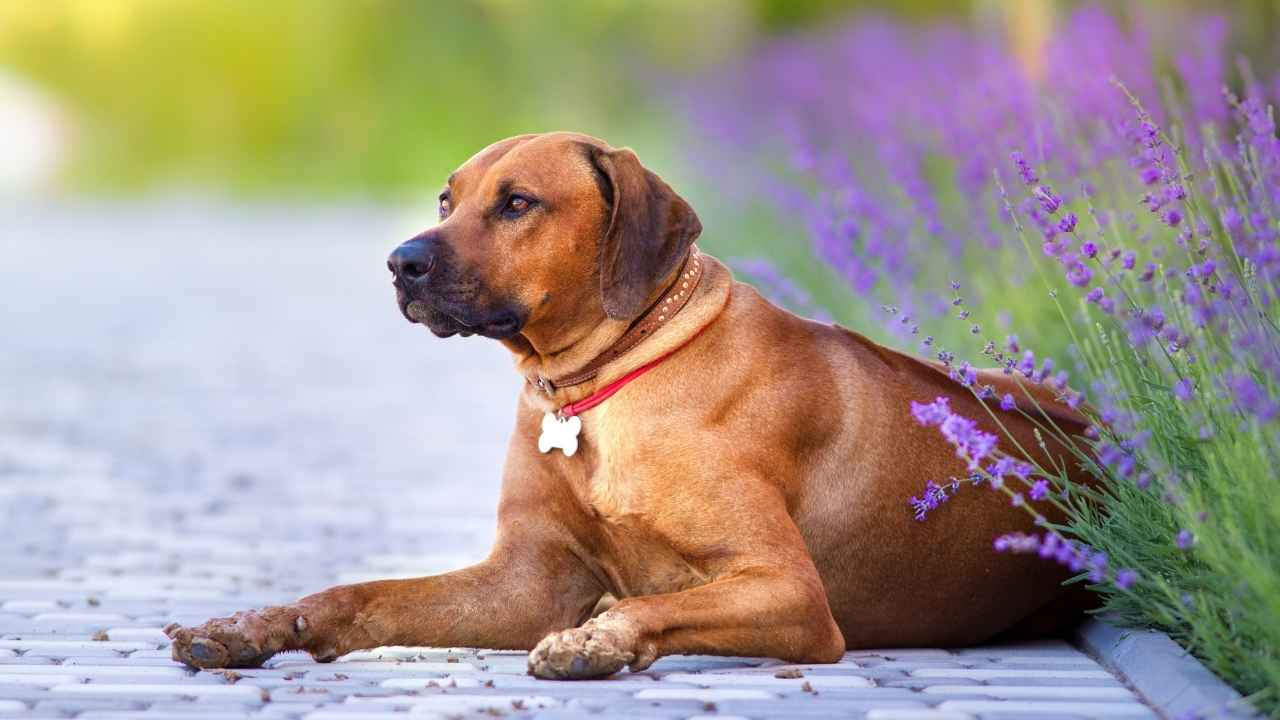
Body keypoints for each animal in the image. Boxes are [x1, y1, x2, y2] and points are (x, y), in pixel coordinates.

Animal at [165, 131, 1095, 676]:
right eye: (445, 198)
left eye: (517, 202)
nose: (402, 262)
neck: (597, 387)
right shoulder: (527, 579)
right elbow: (366, 595)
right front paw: (258, 624)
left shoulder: (790, 591)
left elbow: (658, 600)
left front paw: (600, 636)